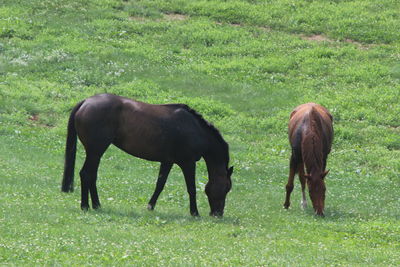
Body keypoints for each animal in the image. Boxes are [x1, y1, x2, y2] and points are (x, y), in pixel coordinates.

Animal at [61, 94, 233, 218]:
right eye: (226, 188)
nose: (218, 214)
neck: (195, 130)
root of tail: (85, 102)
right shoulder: (188, 163)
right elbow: (191, 188)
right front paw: (195, 213)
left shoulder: (167, 162)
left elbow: (160, 185)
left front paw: (150, 206)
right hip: (96, 151)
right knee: (86, 174)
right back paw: (85, 206)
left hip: (95, 153)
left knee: (92, 176)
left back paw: (96, 205)